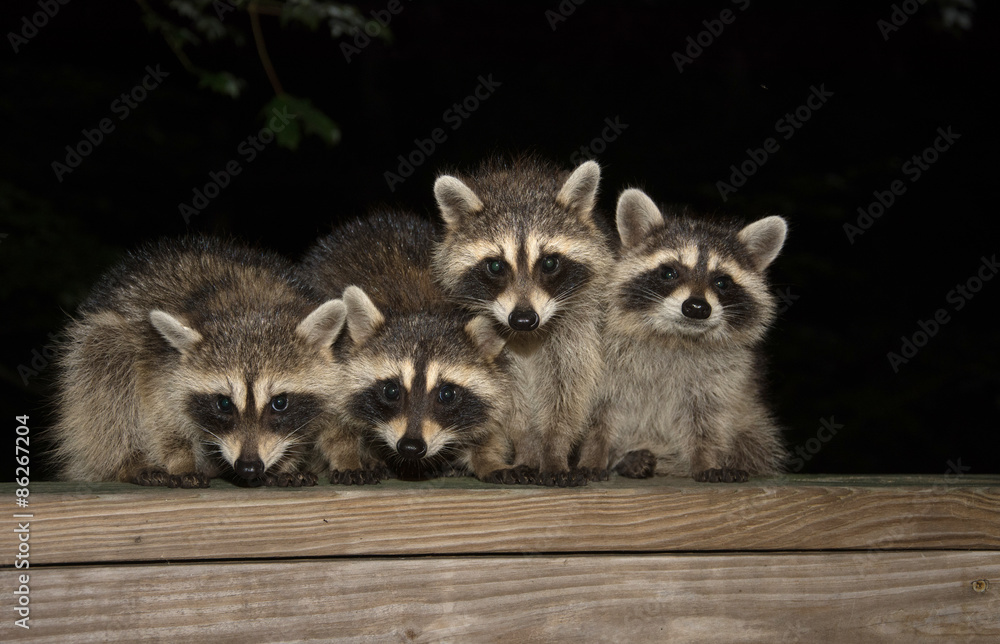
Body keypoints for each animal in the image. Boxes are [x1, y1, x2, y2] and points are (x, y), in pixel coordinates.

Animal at [51, 236, 346, 488]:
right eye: (223, 403)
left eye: (280, 402)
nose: (249, 467)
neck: (249, 305)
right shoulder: (159, 362)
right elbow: (164, 419)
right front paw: (180, 460)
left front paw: (286, 463)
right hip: (101, 340)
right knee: (107, 377)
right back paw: (127, 461)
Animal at [299, 212, 512, 483]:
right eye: (391, 390)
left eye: (447, 394)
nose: (411, 447)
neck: (422, 309)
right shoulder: (334, 362)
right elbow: (332, 423)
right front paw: (347, 457)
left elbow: (493, 420)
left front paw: (488, 458)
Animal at [431, 156, 614, 486]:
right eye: (495, 266)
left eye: (550, 263)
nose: (524, 319)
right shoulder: (499, 344)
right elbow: (509, 399)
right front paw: (527, 447)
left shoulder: (578, 328)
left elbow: (569, 390)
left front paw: (554, 449)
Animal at [590, 188, 788, 482]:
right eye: (669, 272)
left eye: (722, 281)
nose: (696, 308)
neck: (676, 337)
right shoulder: (605, 361)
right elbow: (597, 416)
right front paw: (591, 457)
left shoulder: (724, 378)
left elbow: (708, 421)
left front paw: (706, 461)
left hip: (754, 422)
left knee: (754, 440)